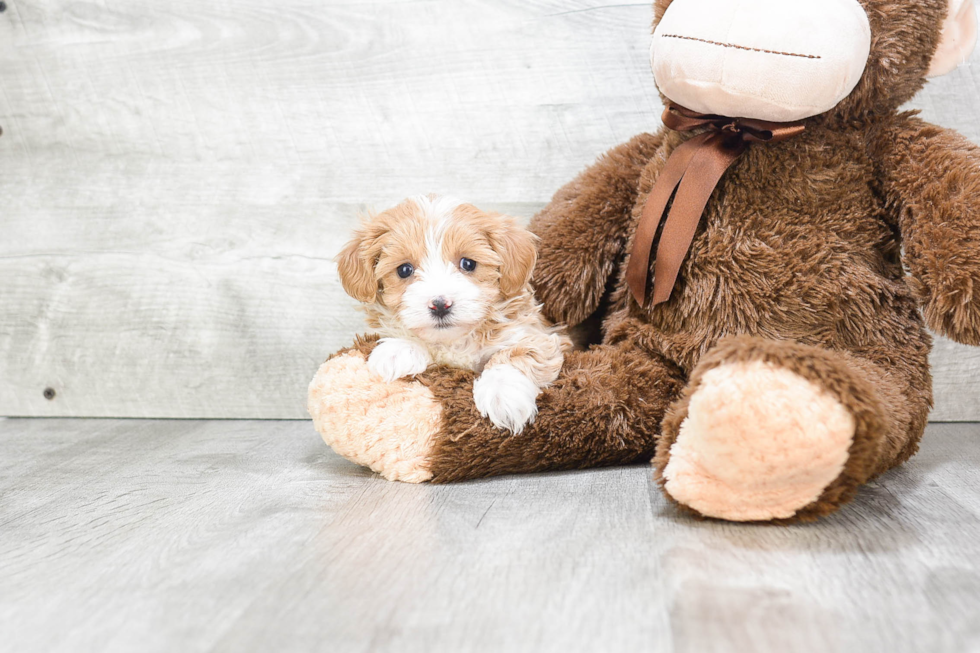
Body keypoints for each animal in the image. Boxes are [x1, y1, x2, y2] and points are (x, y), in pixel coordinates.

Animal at [336, 194, 572, 432]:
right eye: (404, 270)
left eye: (468, 263)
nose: (440, 305)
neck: (455, 341)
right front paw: (397, 351)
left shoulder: (542, 334)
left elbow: (520, 352)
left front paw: (502, 392)